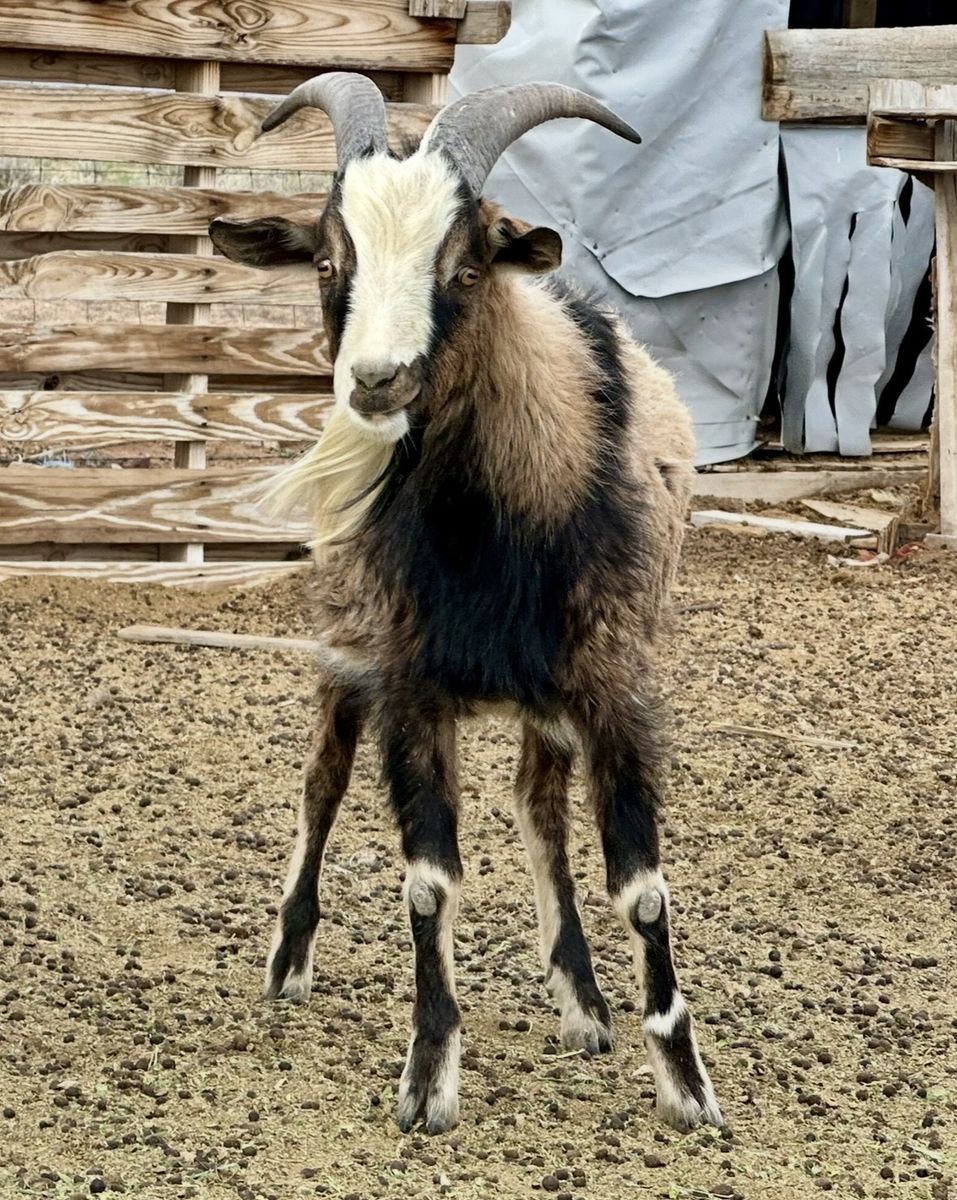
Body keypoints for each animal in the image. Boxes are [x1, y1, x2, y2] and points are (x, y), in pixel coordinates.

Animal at [210, 74, 722, 1136]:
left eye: (470, 261)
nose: (376, 381)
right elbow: (426, 884)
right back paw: (289, 957)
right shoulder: (408, 683)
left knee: (537, 804)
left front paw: (687, 1082)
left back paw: (581, 1002)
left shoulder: (614, 676)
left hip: (547, 692)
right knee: (322, 781)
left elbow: (642, 889)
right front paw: (428, 1078)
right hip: (344, 637)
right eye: (327, 260)